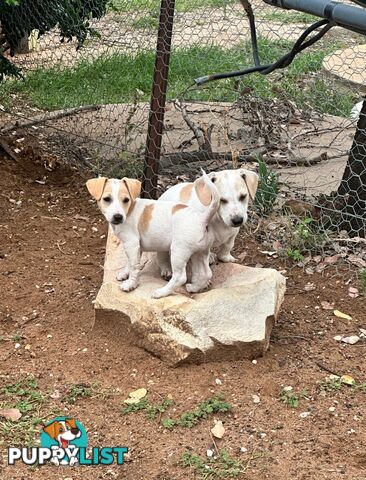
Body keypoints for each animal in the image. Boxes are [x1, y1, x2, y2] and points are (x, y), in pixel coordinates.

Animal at [87, 172, 219, 298]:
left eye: (126, 200)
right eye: (107, 199)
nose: (118, 217)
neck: (129, 210)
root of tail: (202, 218)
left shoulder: (131, 244)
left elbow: (134, 267)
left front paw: (130, 284)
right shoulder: (135, 248)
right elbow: (130, 263)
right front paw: (125, 274)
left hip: (179, 252)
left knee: (180, 277)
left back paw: (162, 292)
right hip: (200, 253)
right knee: (206, 273)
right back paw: (194, 287)